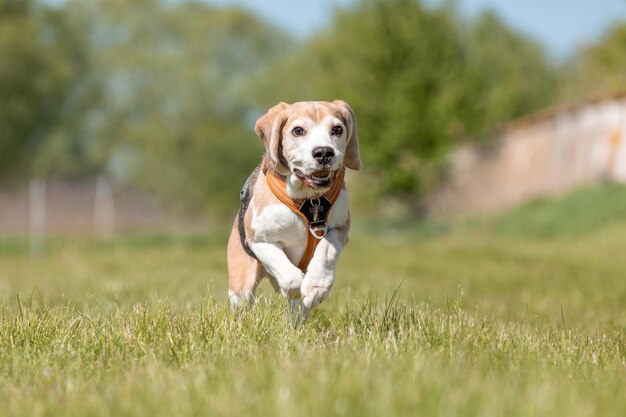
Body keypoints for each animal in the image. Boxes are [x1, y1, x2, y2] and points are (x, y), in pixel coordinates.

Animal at [227, 101, 358, 314]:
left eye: (337, 129)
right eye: (298, 130)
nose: (324, 153)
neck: (308, 198)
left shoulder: (340, 229)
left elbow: (326, 249)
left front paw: (316, 288)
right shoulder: (259, 241)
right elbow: (291, 279)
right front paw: (297, 287)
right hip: (241, 286)